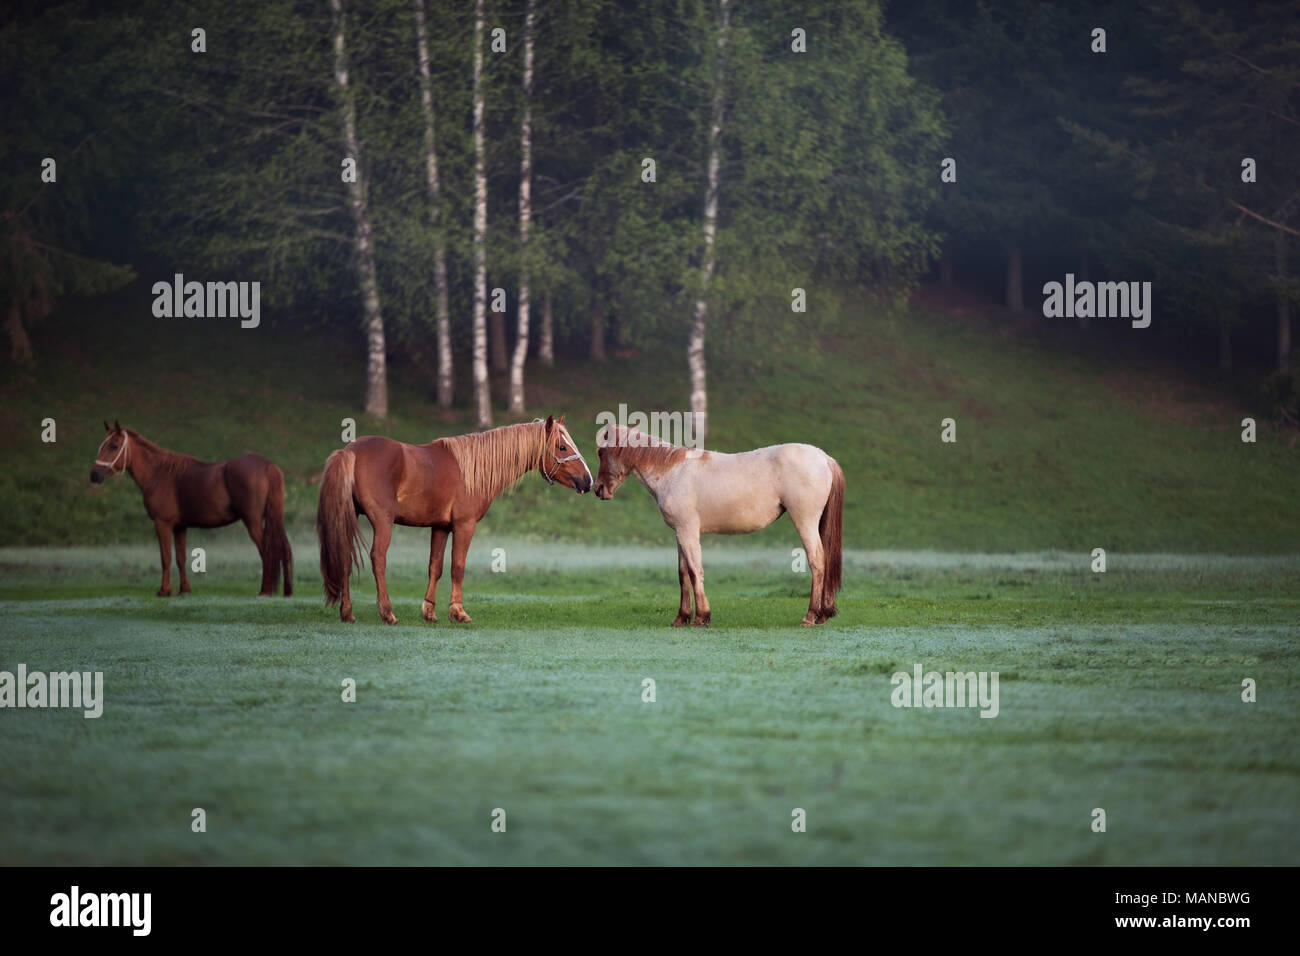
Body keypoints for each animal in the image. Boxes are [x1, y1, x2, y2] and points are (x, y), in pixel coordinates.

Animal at [89, 421, 295, 598]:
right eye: (102, 445)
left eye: (114, 446)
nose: (94, 475)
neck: (159, 474)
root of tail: (268, 466)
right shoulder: (180, 527)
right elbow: (181, 558)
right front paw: (184, 590)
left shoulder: (162, 524)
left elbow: (166, 557)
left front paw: (164, 591)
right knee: (283, 548)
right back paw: (286, 591)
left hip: (252, 521)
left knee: (267, 551)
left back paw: (265, 590)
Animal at [317, 413, 592, 624]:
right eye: (562, 447)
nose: (587, 481)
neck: (472, 469)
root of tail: (349, 451)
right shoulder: (464, 526)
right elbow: (457, 568)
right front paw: (458, 612)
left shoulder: (440, 527)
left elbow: (435, 567)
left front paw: (429, 612)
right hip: (382, 522)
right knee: (378, 560)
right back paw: (387, 613)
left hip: (348, 519)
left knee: (344, 557)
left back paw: (347, 612)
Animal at [595, 426, 847, 629]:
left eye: (601, 453)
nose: (597, 489)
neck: (672, 472)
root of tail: (825, 458)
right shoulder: (680, 533)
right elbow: (683, 574)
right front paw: (681, 618)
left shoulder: (688, 531)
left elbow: (695, 571)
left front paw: (701, 617)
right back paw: (823, 614)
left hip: (805, 521)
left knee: (817, 561)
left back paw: (810, 616)